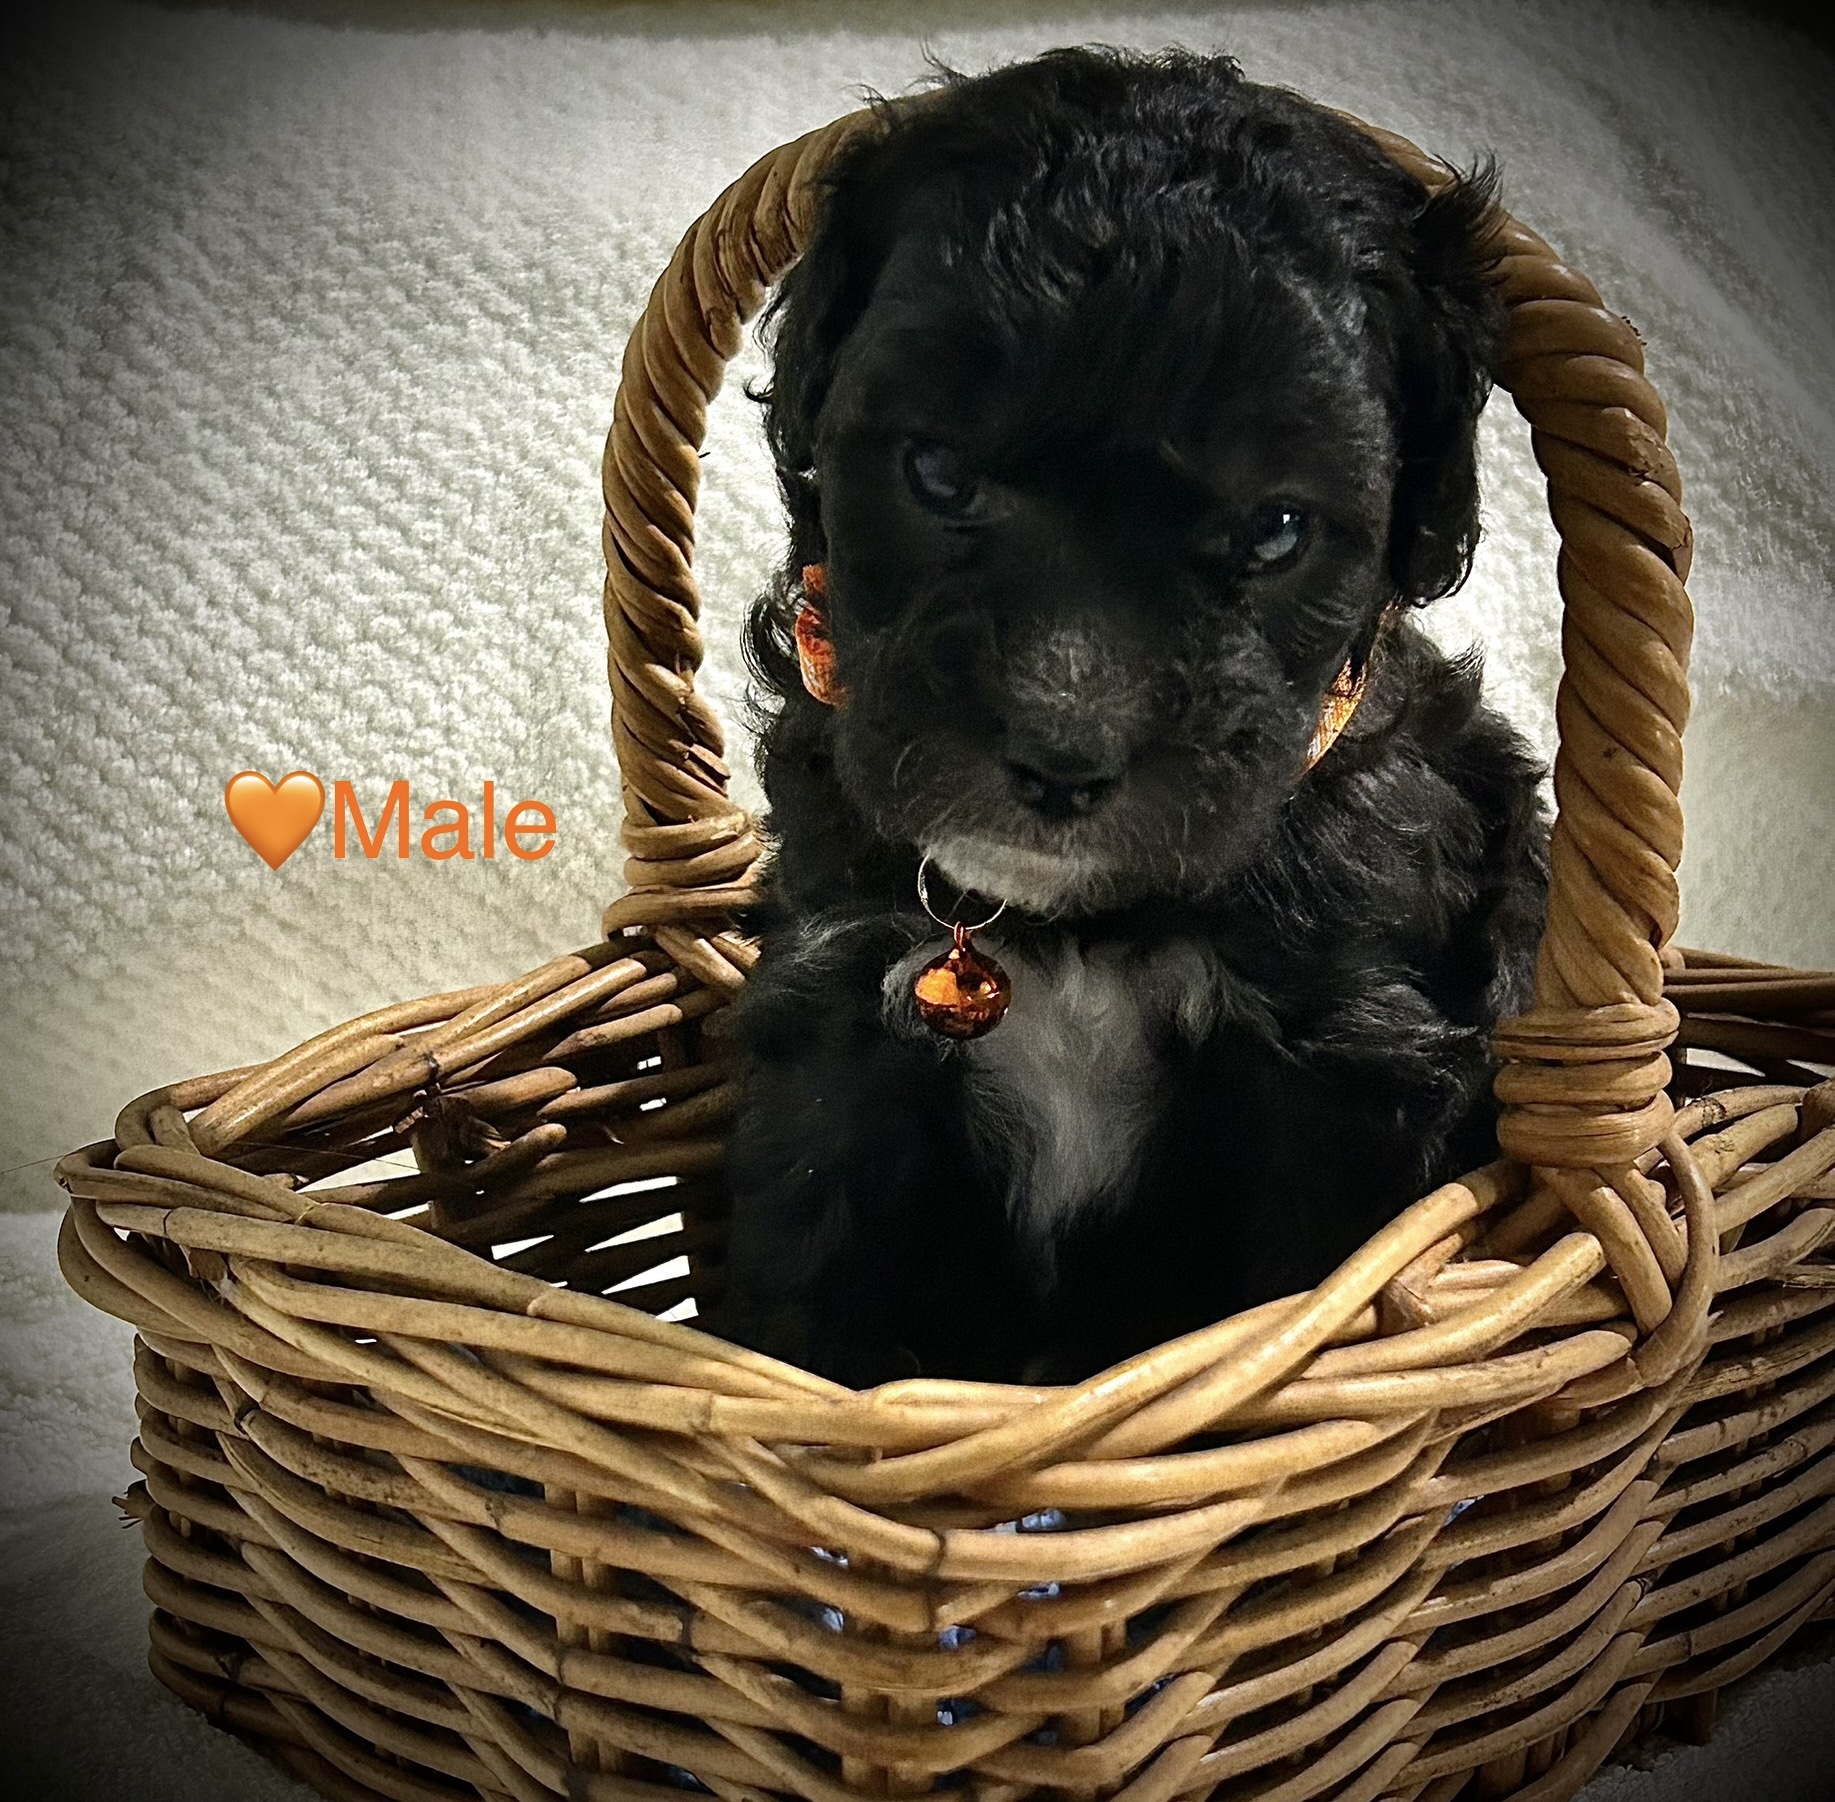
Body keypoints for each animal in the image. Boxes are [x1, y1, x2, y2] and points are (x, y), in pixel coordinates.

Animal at [710, 48, 1549, 1387]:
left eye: (1274, 529)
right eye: (936, 472)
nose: (1060, 756)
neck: (1075, 927)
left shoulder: (1347, 1065)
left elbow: (1299, 1305)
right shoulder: (836, 1012)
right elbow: (810, 1262)